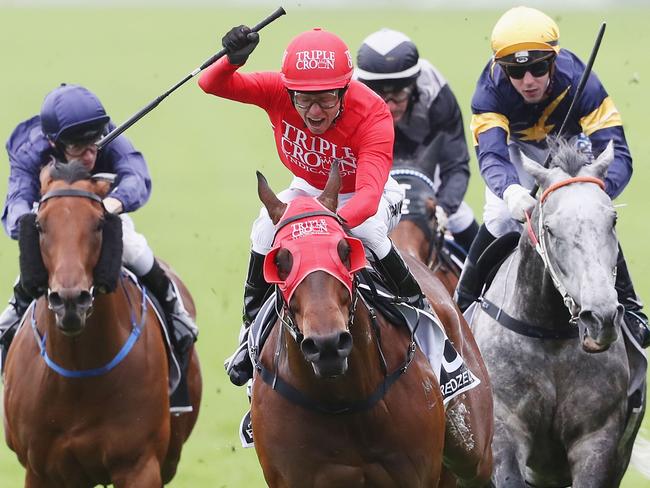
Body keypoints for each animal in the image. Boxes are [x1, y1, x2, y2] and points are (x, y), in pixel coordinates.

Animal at [2, 161, 201, 488]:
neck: (78, 372)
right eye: (40, 225)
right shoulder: (40, 470)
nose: (70, 301)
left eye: (97, 224)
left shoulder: (139, 465)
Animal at [466, 139, 644, 486]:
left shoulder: (597, 438)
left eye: (613, 220)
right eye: (549, 228)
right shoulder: (505, 428)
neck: (549, 334)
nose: (600, 317)